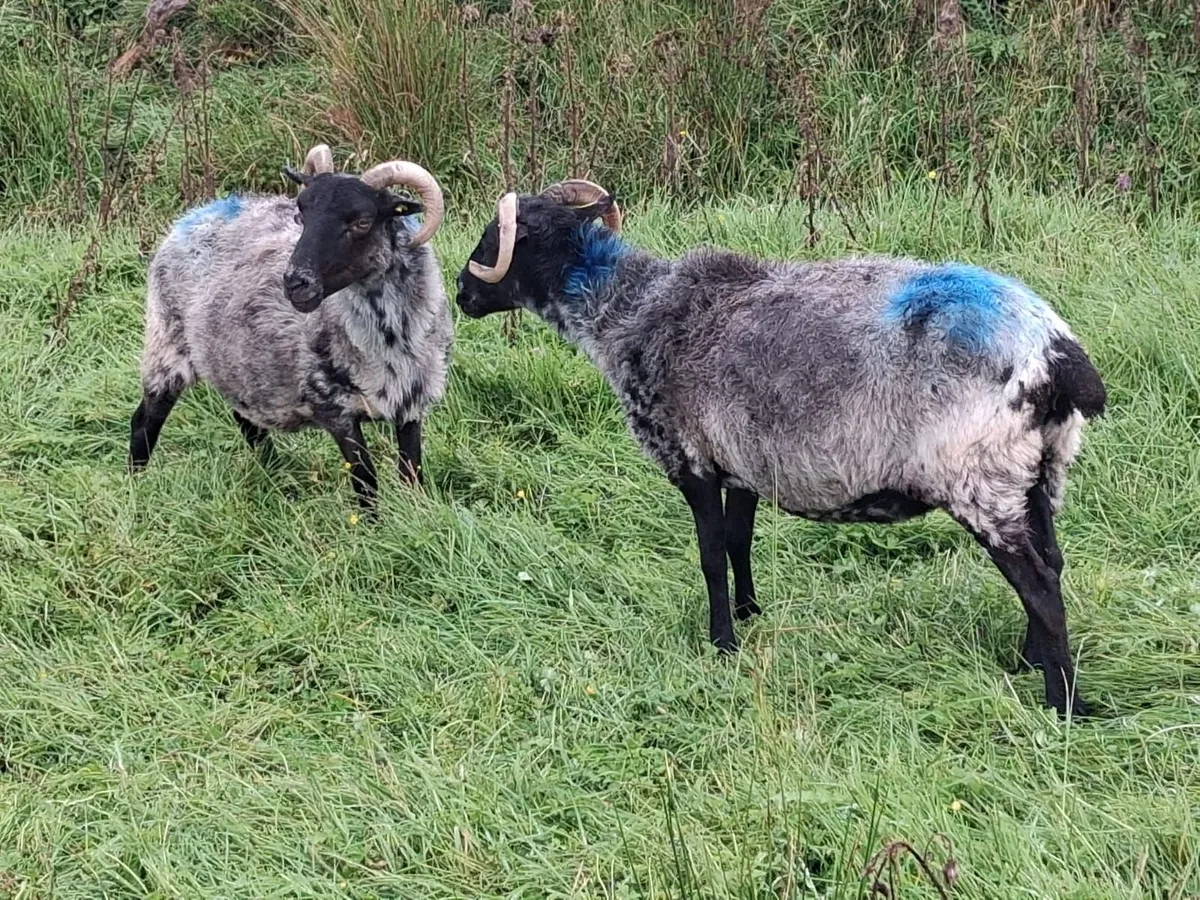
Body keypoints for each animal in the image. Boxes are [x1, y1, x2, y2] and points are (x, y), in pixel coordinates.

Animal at [129, 144, 453, 508]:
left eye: (362, 221)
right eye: (301, 215)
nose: (295, 282)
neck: (388, 335)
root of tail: (193, 215)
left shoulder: (411, 404)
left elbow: (411, 473)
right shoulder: (335, 410)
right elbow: (365, 481)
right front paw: (374, 521)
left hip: (236, 365)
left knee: (246, 421)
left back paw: (274, 474)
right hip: (166, 344)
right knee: (144, 421)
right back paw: (135, 488)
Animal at [454, 181, 1107, 718]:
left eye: (493, 238)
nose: (460, 293)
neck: (627, 309)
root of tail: (1057, 357)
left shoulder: (693, 461)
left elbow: (711, 557)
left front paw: (722, 643)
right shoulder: (742, 465)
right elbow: (739, 544)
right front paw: (751, 616)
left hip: (980, 478)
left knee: (1039, 585)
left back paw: (1063, 704)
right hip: (1042, 470)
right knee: (1052, 562)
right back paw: (1030, 661)